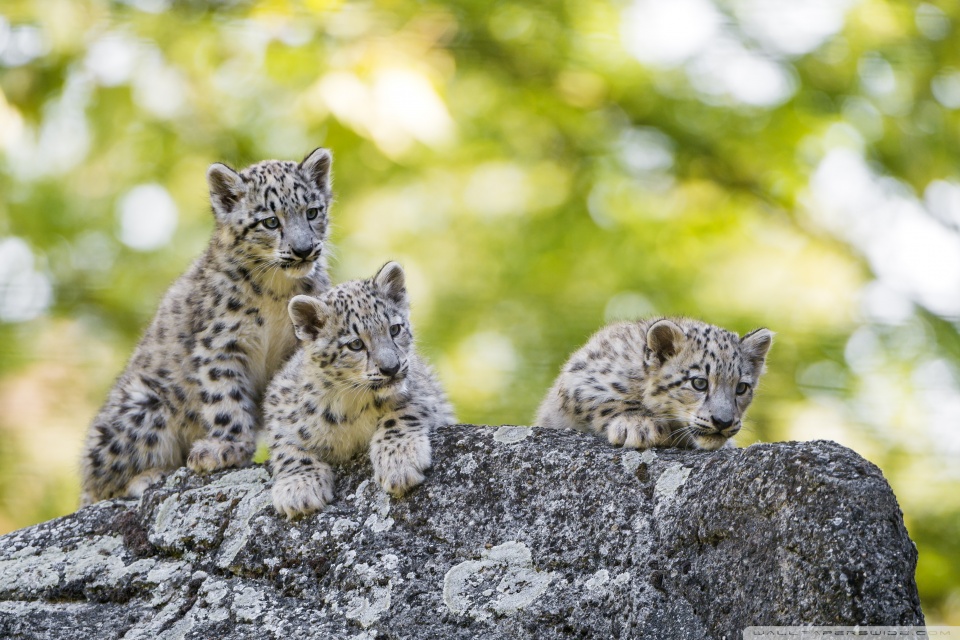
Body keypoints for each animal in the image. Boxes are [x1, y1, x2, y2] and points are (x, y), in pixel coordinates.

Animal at [79, 148, 334, 504]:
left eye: (312, 212)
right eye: (270, 221)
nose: (303, 249)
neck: (277, 290)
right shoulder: (220, 343)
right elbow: (225, 398)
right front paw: (226, 448)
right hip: (142, 405)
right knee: (100, 484)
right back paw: (147, 477)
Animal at [265, 261, 455, 519]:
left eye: (394, 329)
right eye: (355, 344)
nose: (391, 368)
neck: (352, 405)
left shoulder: (423, 392)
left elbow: (402, 413)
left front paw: (399, 462)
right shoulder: (279, 407)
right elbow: (287, 447)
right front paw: (298, 489)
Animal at [535, 317, 773, 451]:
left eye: (741, 387)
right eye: (699, 383)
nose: (723, 421)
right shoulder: (581, 377)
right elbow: (606, 400)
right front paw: (639, 425)